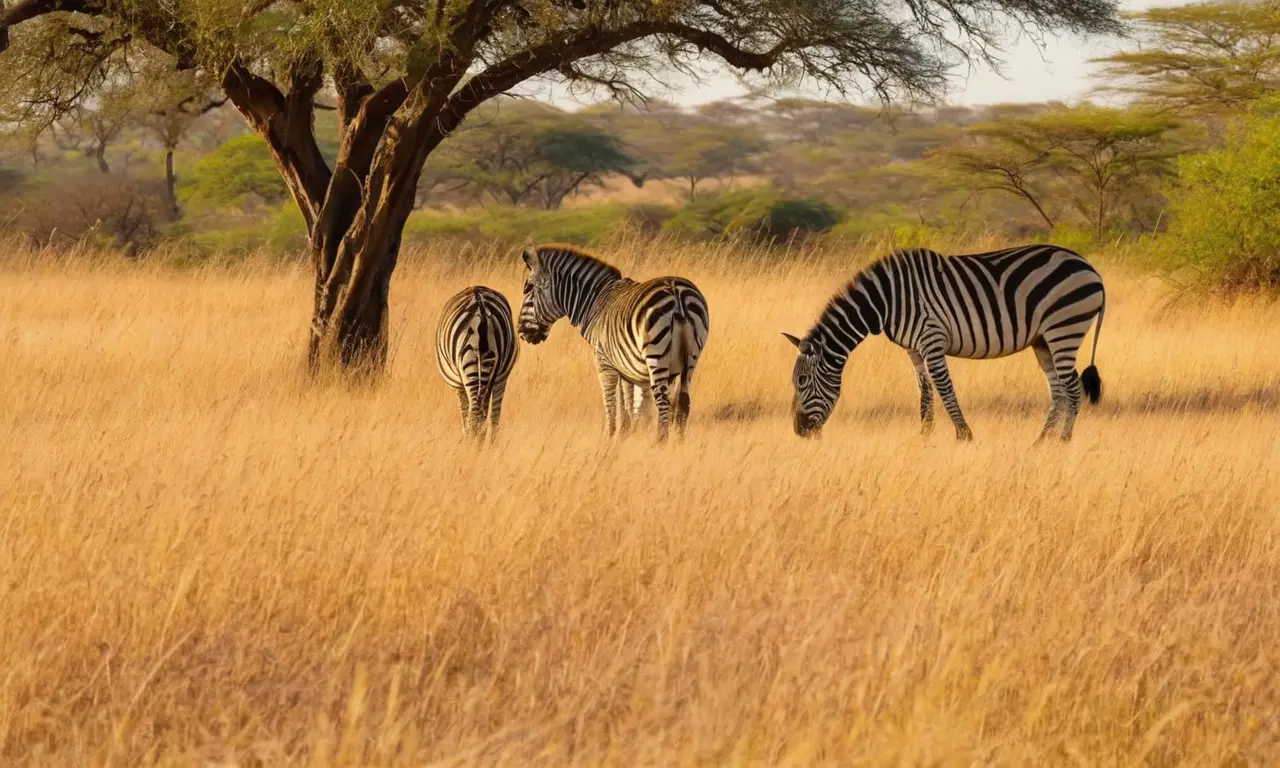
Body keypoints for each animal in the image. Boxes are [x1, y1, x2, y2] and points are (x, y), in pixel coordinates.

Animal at [436, 286, 519, 441]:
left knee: (476, 418)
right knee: (488, 418)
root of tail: (480, 308)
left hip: (471, 369)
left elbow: (465, 418)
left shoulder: (459, 387)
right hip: (493, 372)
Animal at [517, 244, 709, 441]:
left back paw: (659, 443)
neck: (594, 303)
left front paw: (609, 437)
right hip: (691, 358)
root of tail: (675, 292)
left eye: (528, 289)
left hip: (656, 355)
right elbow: (626, 400)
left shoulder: (603, 360)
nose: (521, 331)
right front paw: (627, 433)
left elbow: (610, 400)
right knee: (684, 402)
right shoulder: (625, 364)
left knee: (663, 402)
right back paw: (679, 443)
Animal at [784, 244, 1106, 442]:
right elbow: (925, 392)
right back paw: (1040, 443)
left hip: (1064, 328)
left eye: (801, 381)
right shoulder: (914, 349)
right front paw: (924, 436)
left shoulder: (932, 338)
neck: (886, 302)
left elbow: (945, 388)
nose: (799, 431)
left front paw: (964, 435)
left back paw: (1063, 442)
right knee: (1058, 392)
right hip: (1043, 341)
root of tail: (1091, 269)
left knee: (1072, 389)